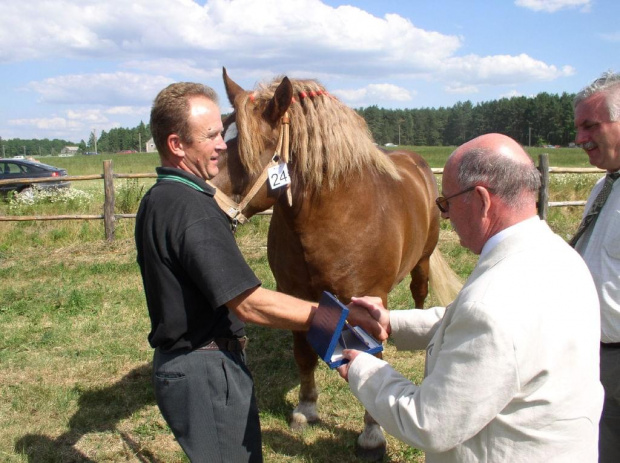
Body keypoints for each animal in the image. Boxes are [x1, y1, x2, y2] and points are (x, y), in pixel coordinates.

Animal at [213, 69, 460, 460]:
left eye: (249, 150)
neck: (335, 216)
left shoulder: (371, 298)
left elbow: (373, 361)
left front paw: (372, 435)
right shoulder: (294, 294)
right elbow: (303, 355)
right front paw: (306, 408)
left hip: (421, 260)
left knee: (419, 293)